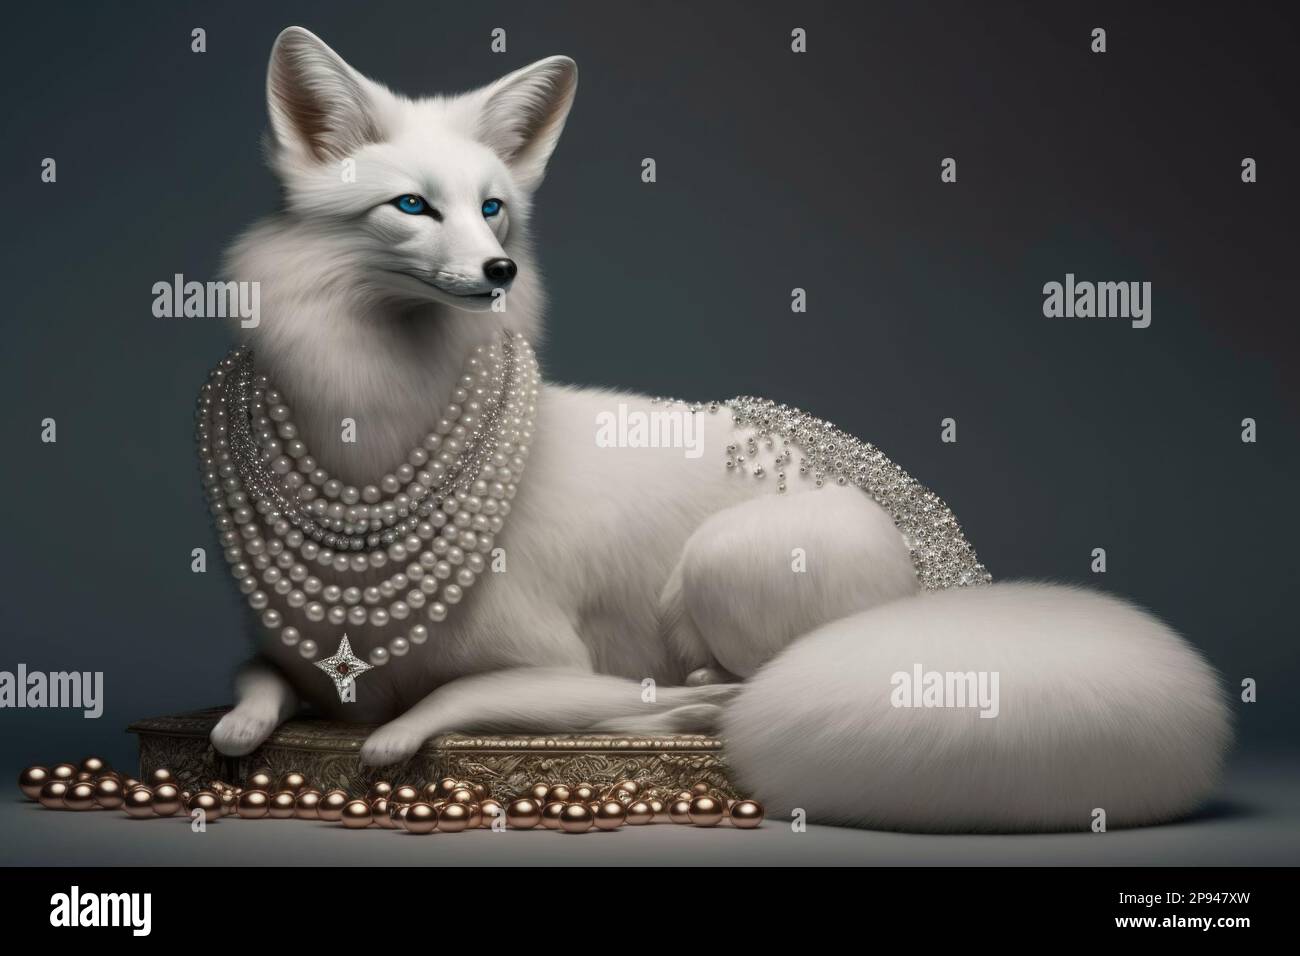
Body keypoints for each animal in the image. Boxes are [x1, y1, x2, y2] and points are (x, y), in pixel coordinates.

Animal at [208, 26, 1230, 831]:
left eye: (493, 208)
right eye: (414, 207)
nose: (500, 270)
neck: (368, 443)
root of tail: (949, 577)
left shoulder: (553, 668)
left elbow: (444, 702)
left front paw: (400, 736)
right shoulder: (305, 664)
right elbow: (253, 685)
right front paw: (246, 728)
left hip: (722, 559)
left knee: (736, 690)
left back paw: (679, 705)